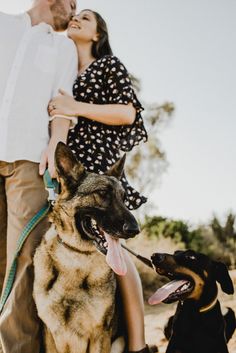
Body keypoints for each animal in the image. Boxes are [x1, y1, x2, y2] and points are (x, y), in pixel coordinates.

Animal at [33, 142, 140, 352]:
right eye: (102, 193)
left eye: (123, 198)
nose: (135, 230)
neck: (77, 257)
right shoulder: (50, 333)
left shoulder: (100, 334)